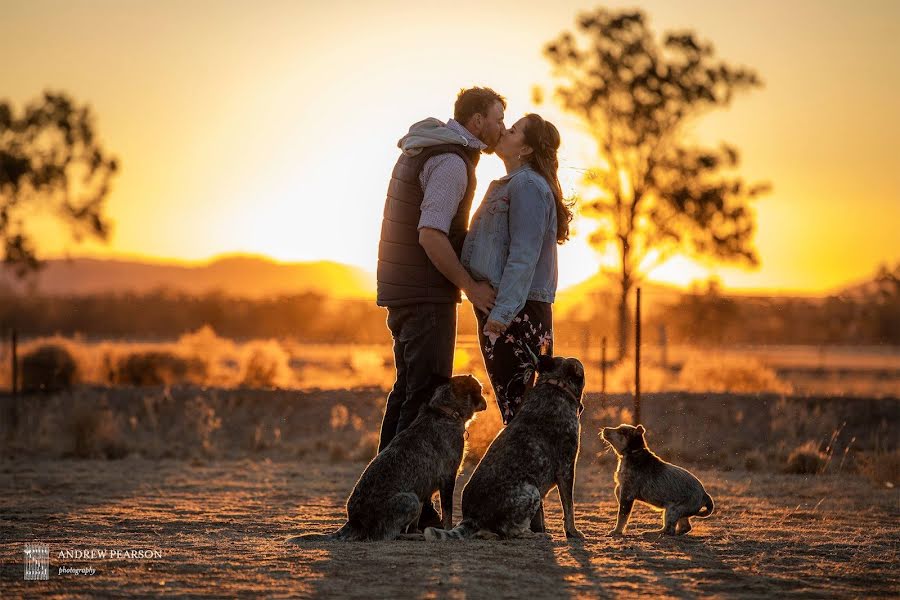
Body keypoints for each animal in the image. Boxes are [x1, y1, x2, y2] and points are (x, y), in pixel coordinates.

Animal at [286, 376, 486, 544]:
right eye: (480, 389)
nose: (485, 401)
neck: (443, 412)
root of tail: (354, 521)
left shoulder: (424, 490)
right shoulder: (447, 478)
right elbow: (448, 513)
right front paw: (447, 530)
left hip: (414, 498)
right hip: (410, 499)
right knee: (389, 535)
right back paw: (413, 537)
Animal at [426, 354, 588, 540]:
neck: (557, 384)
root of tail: (472, 518)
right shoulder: (566, 468)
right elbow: (569, 507)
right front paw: (572, 531)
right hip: (532, 490)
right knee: (512, 531)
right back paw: (535, 535)